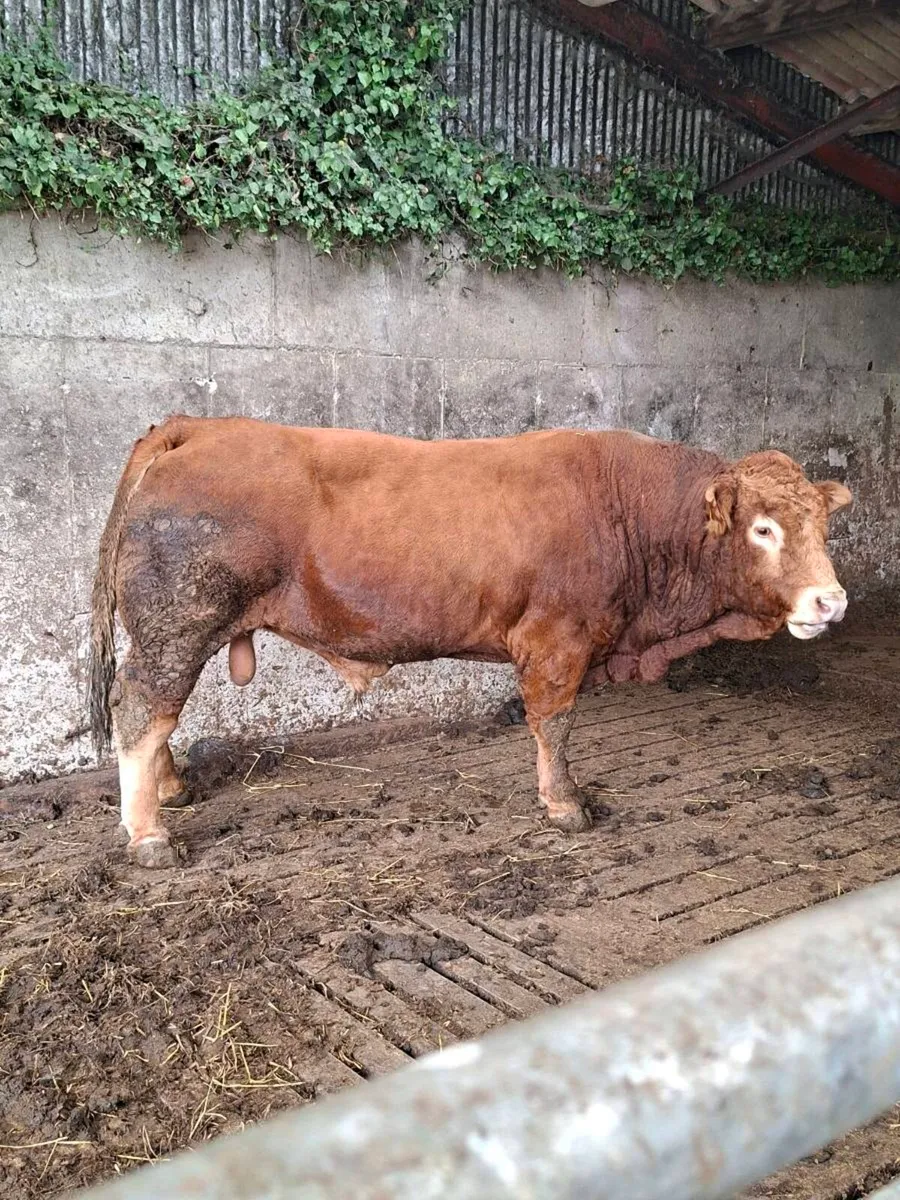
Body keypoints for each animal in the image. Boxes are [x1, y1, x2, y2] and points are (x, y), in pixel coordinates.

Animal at [88, 416, 851, 867]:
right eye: (763, 528)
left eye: (822, 525)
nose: (832, 600)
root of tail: (199, 426)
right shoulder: (557, 639)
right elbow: (554, 725)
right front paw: (565, 805)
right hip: (179, 620)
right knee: (142, 708)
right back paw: (148, 834)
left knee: (160, 714)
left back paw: (171, 791)